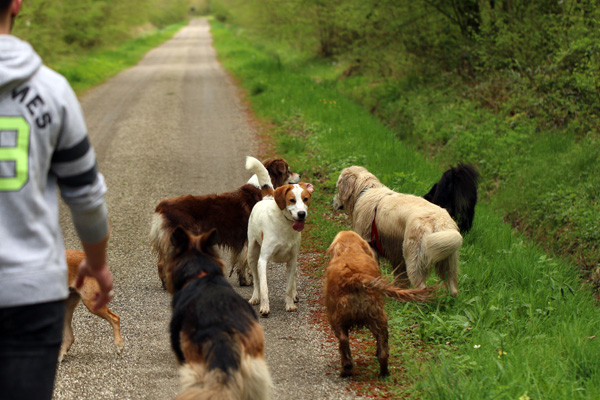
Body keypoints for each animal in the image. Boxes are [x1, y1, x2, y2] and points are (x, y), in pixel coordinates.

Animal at [244, 156, 314, 316]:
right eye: (292, 200)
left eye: (305, 199)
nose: (302, 214)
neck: (285, 224)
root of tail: (268, 197)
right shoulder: (262, 260)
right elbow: (264, 287)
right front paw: (264, 307)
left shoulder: (292, 260)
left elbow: (288, 286)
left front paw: (289, 304)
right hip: (252, 254)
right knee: (256, 281)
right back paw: (255, 297)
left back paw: (294, 295)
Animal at [326, 231, 434, 378]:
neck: (350, 251)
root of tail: (355, 276)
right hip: (378, 318)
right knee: (381, 351)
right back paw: (382, 371)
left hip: (339, 318)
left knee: (344, 341)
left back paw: (347, 369)